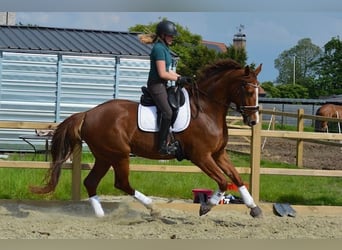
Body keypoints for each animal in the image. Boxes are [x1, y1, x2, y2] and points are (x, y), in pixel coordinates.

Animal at [30, 58, 264, 217]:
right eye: (247, 89)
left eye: (258, 90)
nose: (253, 121)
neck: (206, 109)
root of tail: (88, 113)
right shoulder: (201, 156)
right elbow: (223, 181)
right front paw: (206, 206)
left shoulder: (219, 154)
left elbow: (236, 177)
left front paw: (254, 207)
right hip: (119, 155)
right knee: (122, 183)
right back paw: (152, 208)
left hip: (105, 156)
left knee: (91, 182)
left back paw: (101, 216)